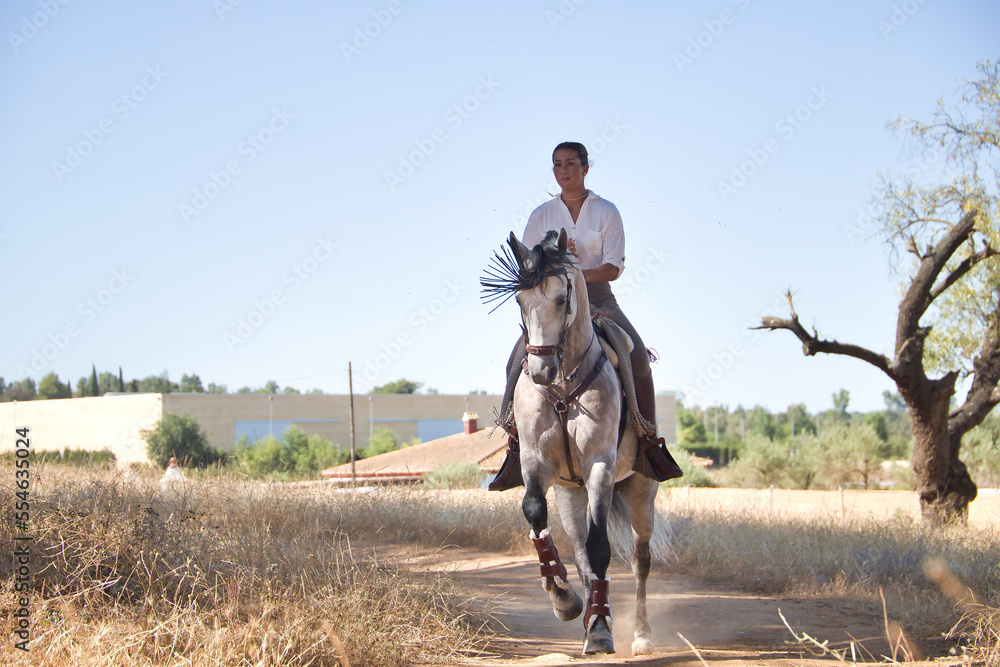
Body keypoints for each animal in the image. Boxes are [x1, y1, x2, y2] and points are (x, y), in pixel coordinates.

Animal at [482, 231, 664, 656]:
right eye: (520, 301)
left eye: (561, 300)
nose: (540, 371)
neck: (564, 388)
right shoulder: (536, 463)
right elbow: (536, 515)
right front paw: (563, 597)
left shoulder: (600, 464)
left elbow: (601, 548)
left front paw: (599, 630)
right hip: (570, 494)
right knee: (581, 554)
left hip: (640, 490)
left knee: (640, 559)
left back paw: (641, 635)